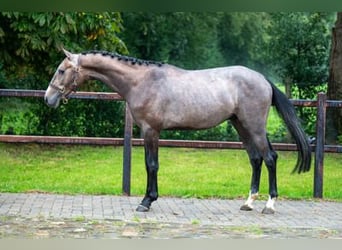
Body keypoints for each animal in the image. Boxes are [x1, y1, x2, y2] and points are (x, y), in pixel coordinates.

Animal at [44, 49, 312, 214]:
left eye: (61, 70)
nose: (48, 98)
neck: (141, 81)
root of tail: (263, 80)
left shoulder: (151, 131)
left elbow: (151, 165)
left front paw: (146, 201)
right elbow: (151, 165)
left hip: (254, 126)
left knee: (270, 158)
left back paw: (270, 205)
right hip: (241, 126)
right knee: (256, 159)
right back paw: (248, 202)